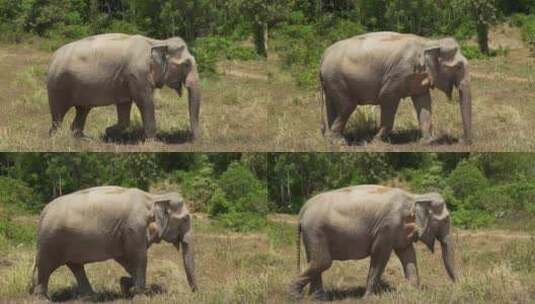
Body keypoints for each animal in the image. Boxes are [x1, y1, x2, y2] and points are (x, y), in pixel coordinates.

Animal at [28, 185, 197, 300]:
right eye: (185, 219)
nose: (194, 292)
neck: (154, 197)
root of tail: (43, 213)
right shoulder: (134, 229)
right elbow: (139, 258)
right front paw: (139, 296)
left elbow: (127, 260)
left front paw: (125, 285)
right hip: (50, 241)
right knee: (46, 267)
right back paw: (43, 299)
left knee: (76, 266)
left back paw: (91, 297)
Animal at [47, 33, 201, 141]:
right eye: (186, 64)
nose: (196, 140)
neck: (157, 42)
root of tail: (53, 57)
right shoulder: (137, 76)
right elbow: (145, 102)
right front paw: (153, 142)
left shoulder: (126, 81)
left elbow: (124, 107)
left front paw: (108, 132)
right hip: (58, 85)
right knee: (58, 114)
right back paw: (56, 138)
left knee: (82, 110)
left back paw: (83, 138)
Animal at [288, 184, 456, 300]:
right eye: (446, 220)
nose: (455, 285)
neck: (415, 197)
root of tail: (303, 209)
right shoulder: (387, 227)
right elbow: (380, 255)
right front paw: (368, 298)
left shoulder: (400, 230)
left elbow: (408, 254)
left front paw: (413, 293)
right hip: (316, 231)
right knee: (322, 262)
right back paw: (295, 297)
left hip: (312, 234)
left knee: (315, 261)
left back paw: (317, 299)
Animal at [320, 31, 472, 145]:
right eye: (459, 66)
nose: (462, 141)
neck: (429, 43)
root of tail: (323, 57)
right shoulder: (397, 74)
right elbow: (386, 97)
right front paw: (376, 141)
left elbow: (423, 101)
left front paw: (427, 142)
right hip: (337, 79)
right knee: (348, 105)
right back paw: (339, 142)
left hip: (331, 81)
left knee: (332, 106)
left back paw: (330, 139)